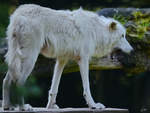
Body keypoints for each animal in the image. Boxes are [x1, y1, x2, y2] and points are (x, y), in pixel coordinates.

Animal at [2, 4, 133, 110]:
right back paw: (23, 107)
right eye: (122, 36)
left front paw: (50, 107)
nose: (132, 50)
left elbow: (54, 88)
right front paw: (94, 105)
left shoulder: (61, 60)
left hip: (16, 59)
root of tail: (17, 15)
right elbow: (87, 87)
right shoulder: (84, 59)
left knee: (6, 80)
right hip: (30, 58)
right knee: (19, 82)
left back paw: (8, 106)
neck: (96, 31)